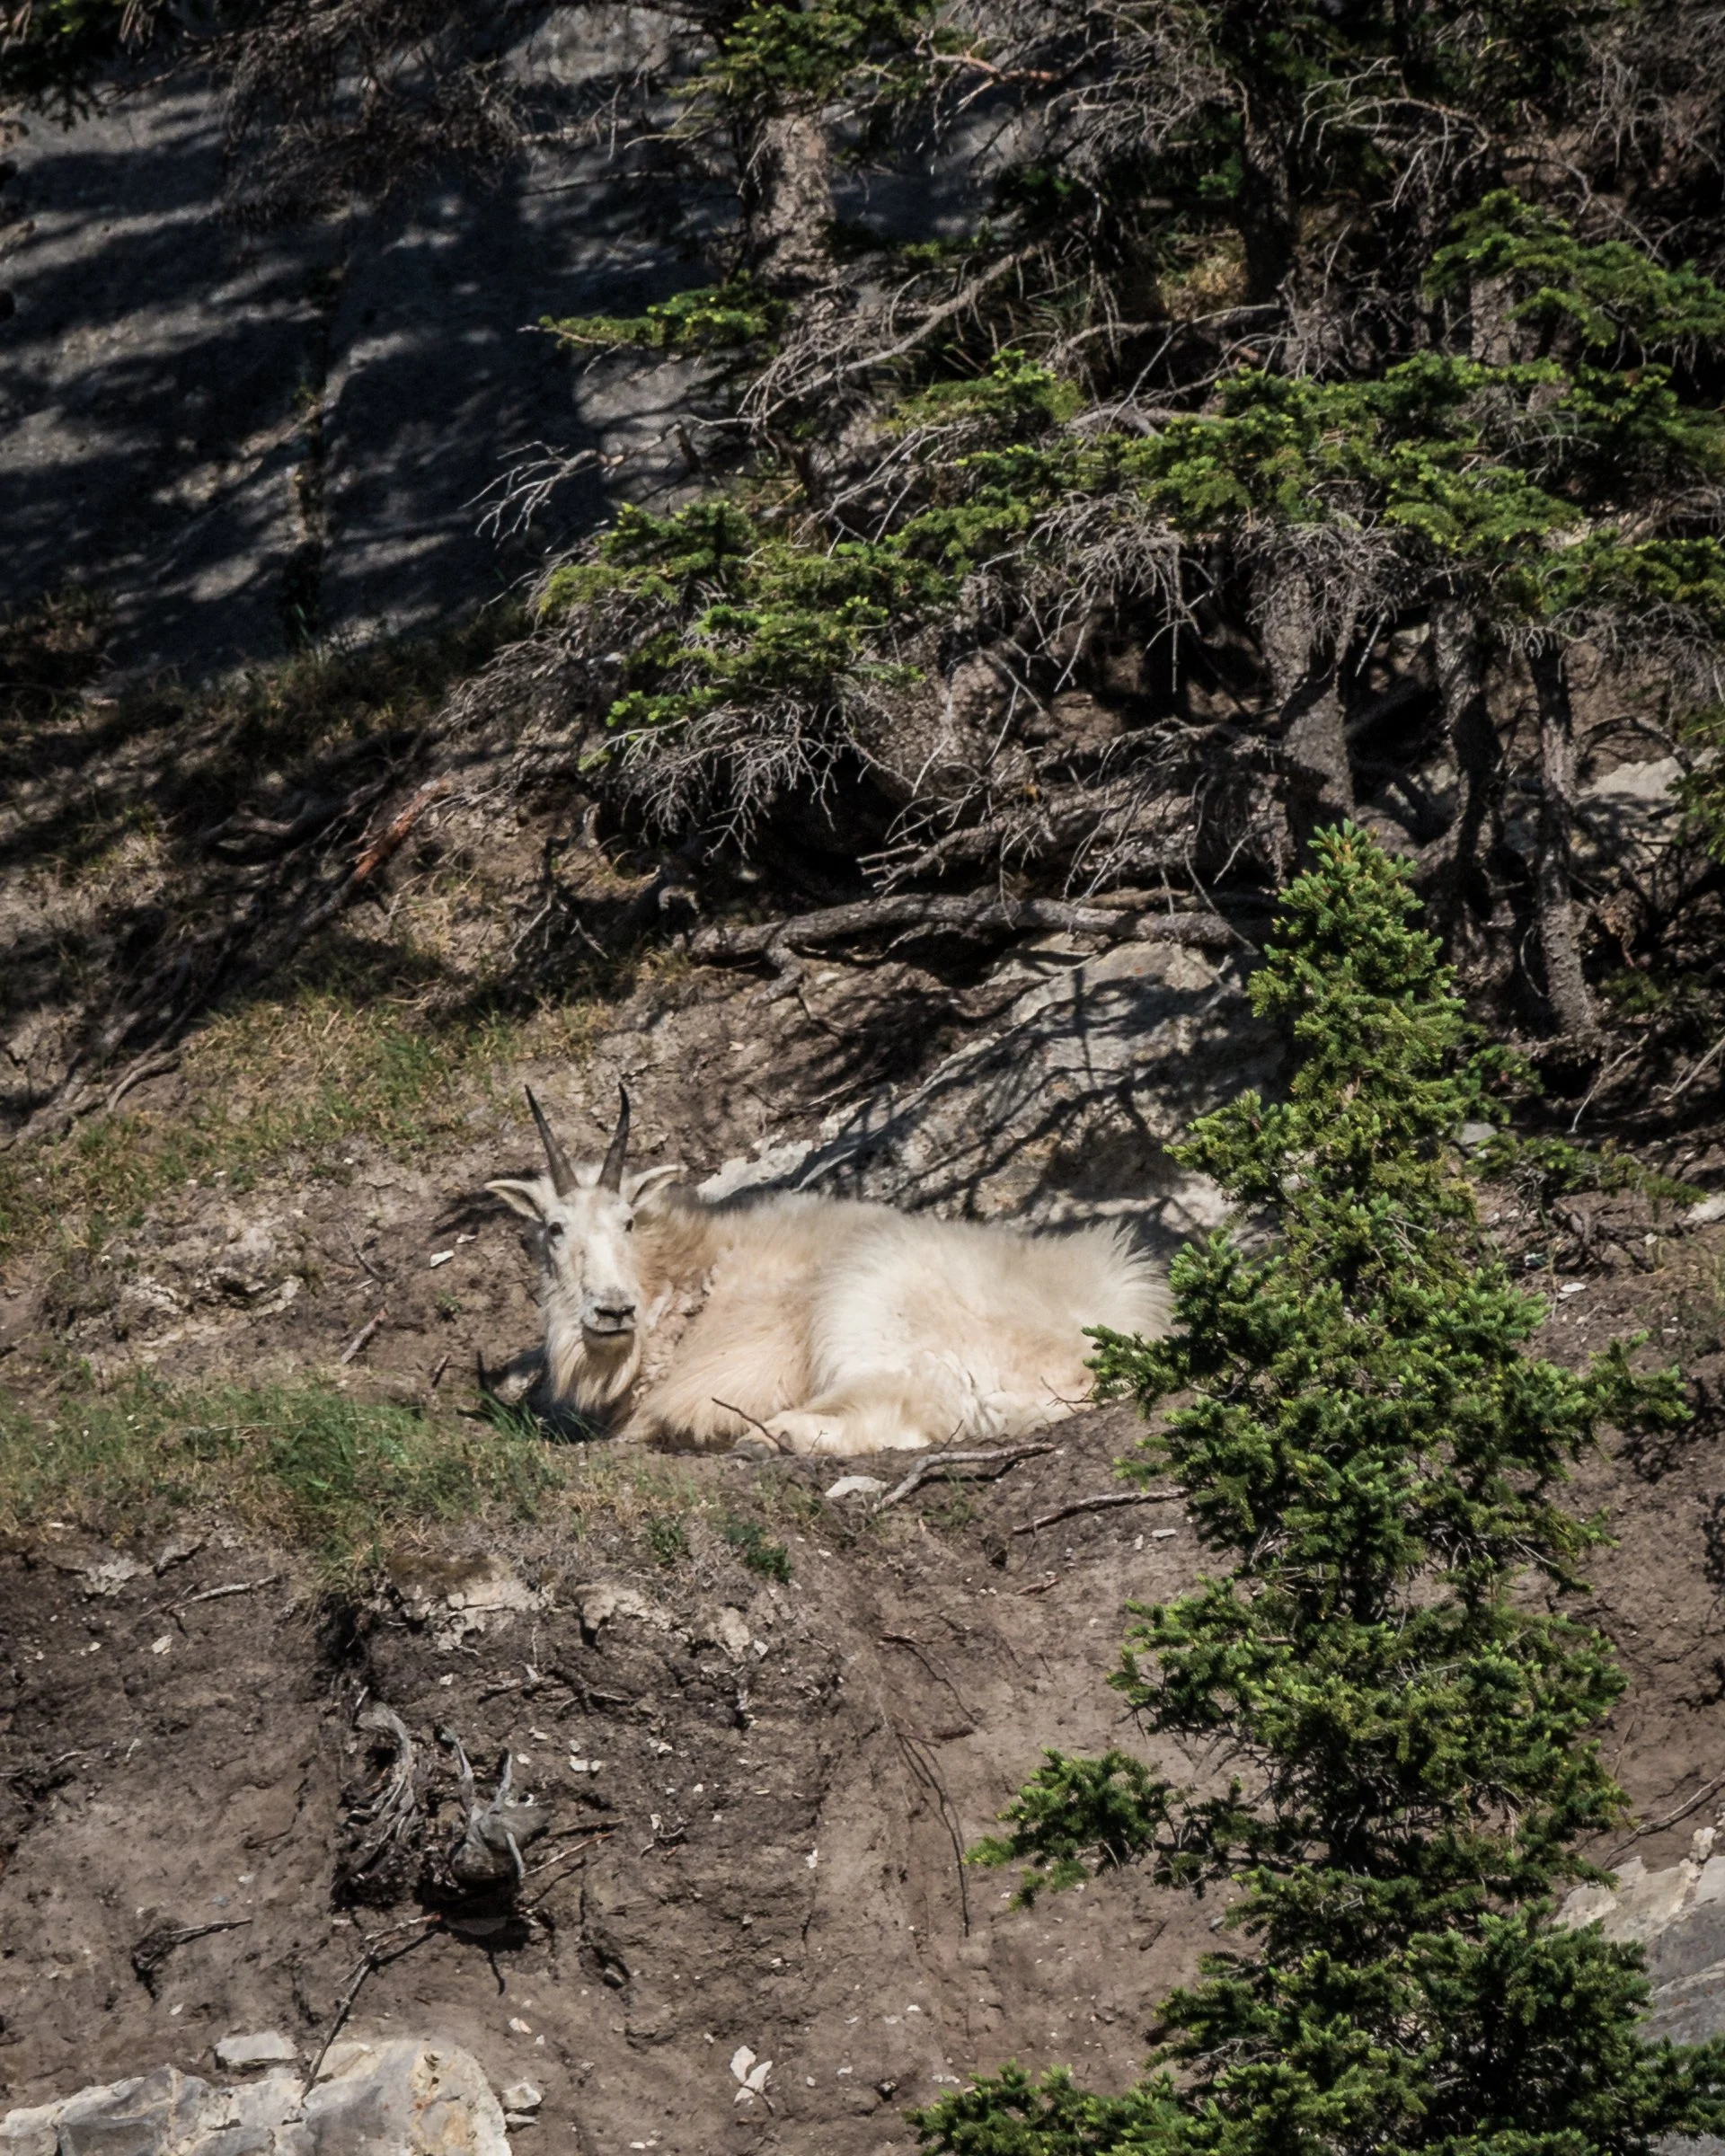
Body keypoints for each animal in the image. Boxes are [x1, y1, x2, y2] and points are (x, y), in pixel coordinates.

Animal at [485, 1087, 1170, 1456]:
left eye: (627, 1221)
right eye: (554, 1228)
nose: (612, 1310)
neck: (687, 1277)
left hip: (872, 1302)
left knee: (909, 1413)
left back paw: (773, 1435)